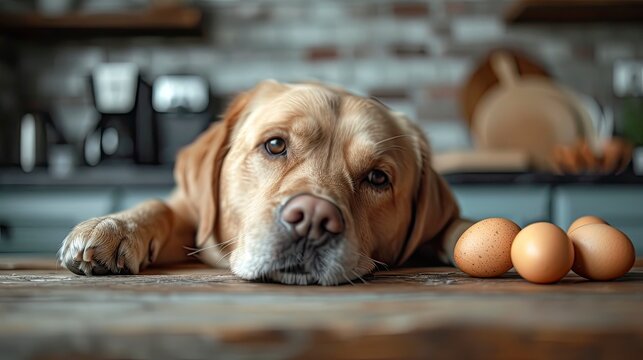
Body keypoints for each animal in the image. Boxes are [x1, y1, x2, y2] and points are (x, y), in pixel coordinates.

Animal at [57, 80, 470, 286]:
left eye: (377, 178)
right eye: (274, 145)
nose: (312, 219)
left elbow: (459, 226)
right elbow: (160, 206)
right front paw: (114, 227)